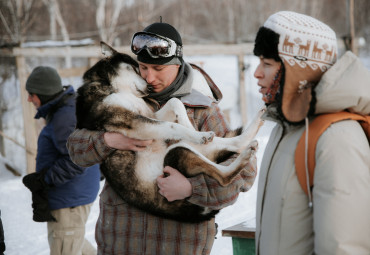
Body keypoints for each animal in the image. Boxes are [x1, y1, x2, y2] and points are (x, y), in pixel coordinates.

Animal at [76, 41, 264, 221]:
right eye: (137, 69)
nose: (150, 88)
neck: (110, 86)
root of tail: (199, 212)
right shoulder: (137, 123)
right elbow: (172, 125)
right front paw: (196, 132)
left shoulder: (150, 114)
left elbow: (175, 102)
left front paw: (189, 125)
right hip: (178, 153)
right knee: (224, 176)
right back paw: (235, 148)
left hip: (184, 149)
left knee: (232, 144)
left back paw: (253, 130)